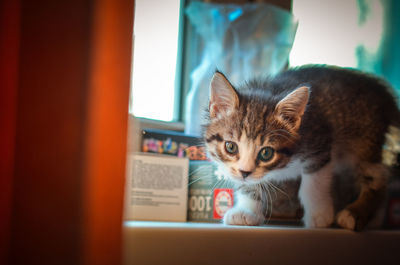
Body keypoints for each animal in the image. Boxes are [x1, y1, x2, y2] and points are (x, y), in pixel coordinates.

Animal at [205, 64, 398, 229]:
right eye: (231, 147)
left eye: (266, 153)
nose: (245, 172)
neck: (282, 166)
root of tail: (385, 93)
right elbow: (248, 184)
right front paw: (246, 210)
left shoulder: (320, 142)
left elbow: (314, 182)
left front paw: (320, 215)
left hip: (364, 143)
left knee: (377, 179)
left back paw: (354, 214)